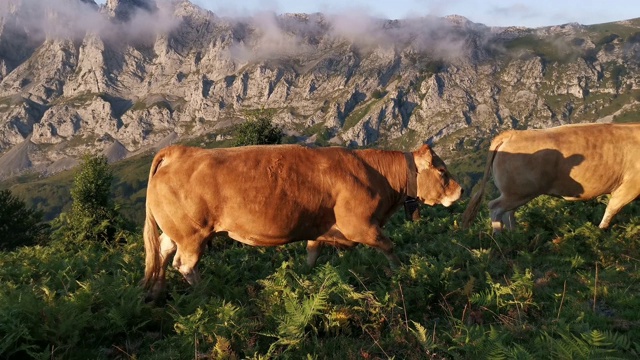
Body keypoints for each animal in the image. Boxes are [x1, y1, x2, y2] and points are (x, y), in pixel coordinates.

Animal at [142, 143, 462, 298]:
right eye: (442, 171)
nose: (459, 190)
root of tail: (180, 151)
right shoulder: (359, 225)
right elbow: (389, 246)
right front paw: (402, 273)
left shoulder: (321, 229)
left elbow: (312, 253)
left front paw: (306, 278)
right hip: (193, 234)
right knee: (184, 264)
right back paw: (205, 293)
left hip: (178, 231)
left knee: (162, 251)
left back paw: (156, 291)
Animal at [464, 122, 640, 232]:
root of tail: (513, 134)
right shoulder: (630, 187)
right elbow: (611, 209)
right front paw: (601, 232)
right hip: (518, 192)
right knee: (495, 208)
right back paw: (500, 238)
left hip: (516, 193)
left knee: (508, 213)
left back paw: (515, 235)